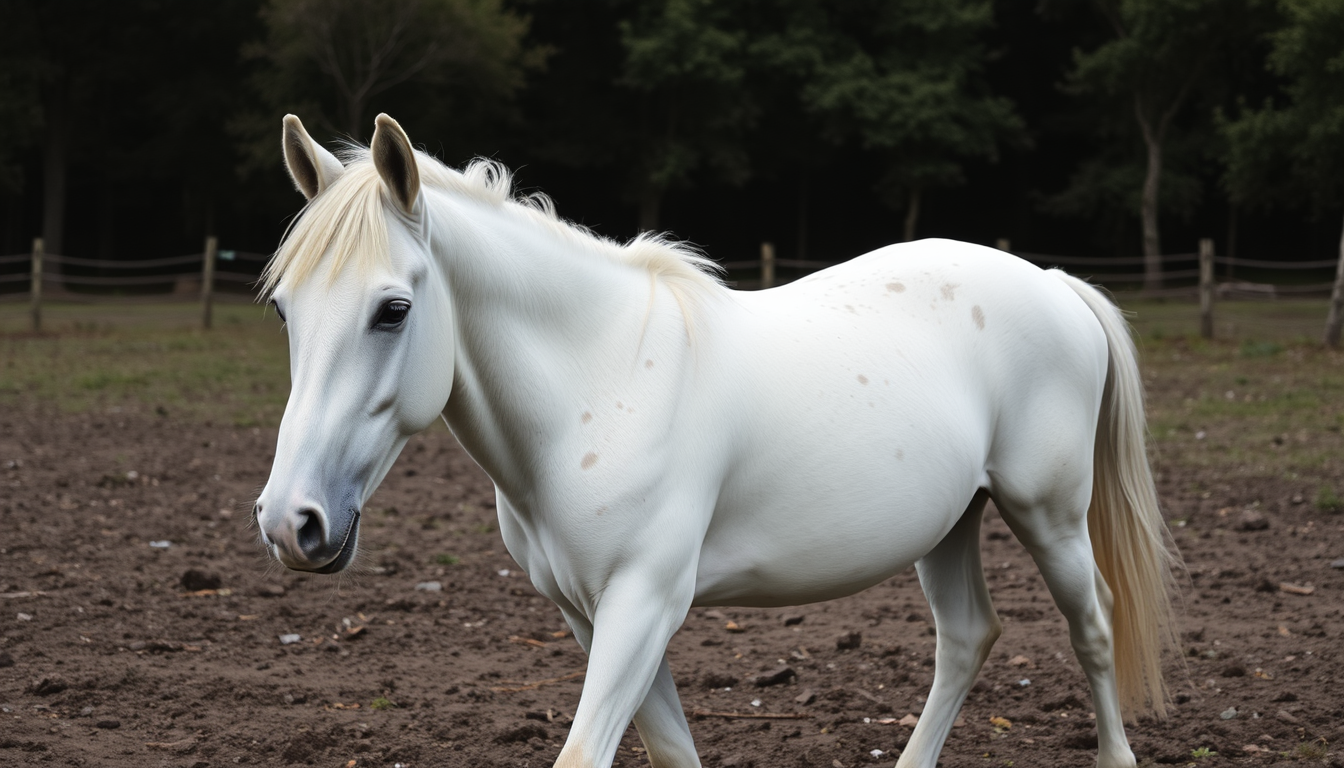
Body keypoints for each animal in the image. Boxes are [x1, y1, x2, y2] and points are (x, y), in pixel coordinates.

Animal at [254, 113, 1178, 768]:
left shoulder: (644, 603)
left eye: (393, 310)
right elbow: (669, 750)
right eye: (282, 310)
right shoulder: (592, 616)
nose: (292, 521)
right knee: (966, 638)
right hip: (951, 523)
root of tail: (1052, 283)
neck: (599, 382)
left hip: (1048, 514)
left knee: (1092, 628)